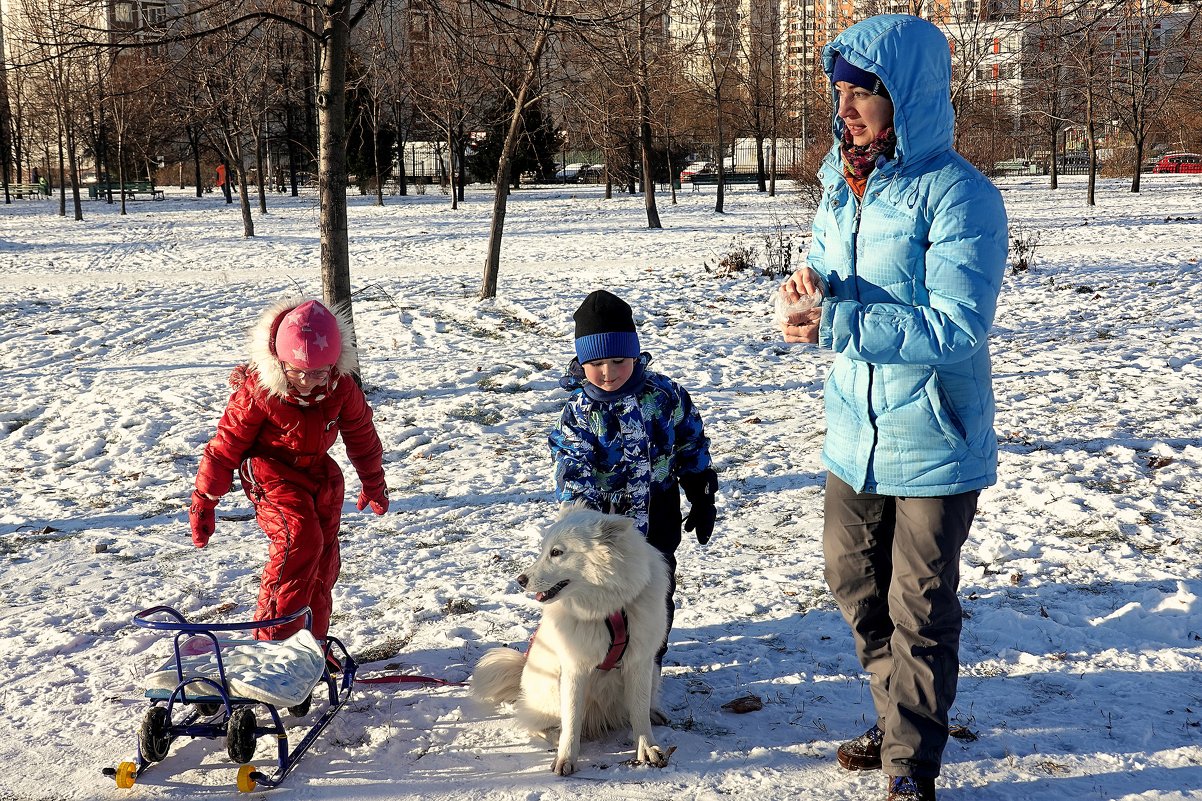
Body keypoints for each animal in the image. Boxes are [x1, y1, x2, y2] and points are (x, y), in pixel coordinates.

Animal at [471, 505, 677, 774]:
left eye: (556, 552)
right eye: (544, 550)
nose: (520, 580)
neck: (607, 610)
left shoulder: (640, 663)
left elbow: (639, 712)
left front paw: (648, 749)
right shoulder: (574, 668)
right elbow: (571, 720)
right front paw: (566, 758)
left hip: (652, 673)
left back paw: (654, 712)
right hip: (550, 691)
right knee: (538, 723)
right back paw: (556, 736)